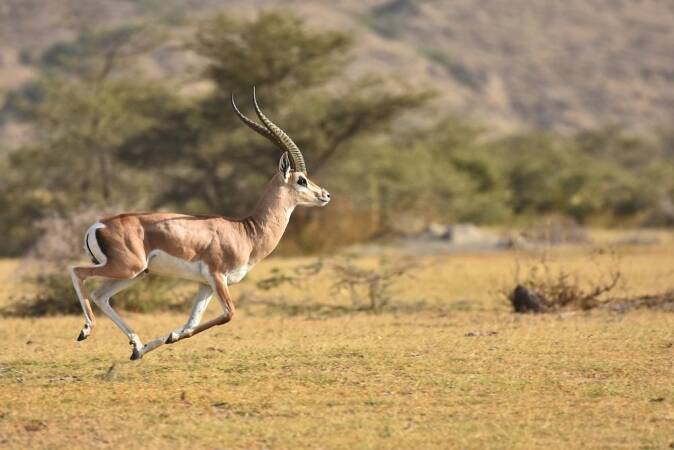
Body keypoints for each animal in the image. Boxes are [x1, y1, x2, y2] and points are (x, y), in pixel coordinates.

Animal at [70, 88, 330, 360]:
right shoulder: (217, 277)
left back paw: (137, 347)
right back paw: (86, 330)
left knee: (100, 295)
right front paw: (168, 338)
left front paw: (165, 339)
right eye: (301, 180)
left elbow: (191, 323)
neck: (246, 232)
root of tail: (98, 225)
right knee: (77, 272)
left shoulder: (204, 284)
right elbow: (229, 314)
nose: (325, 195)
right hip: (127, 268)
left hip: (136, 273)